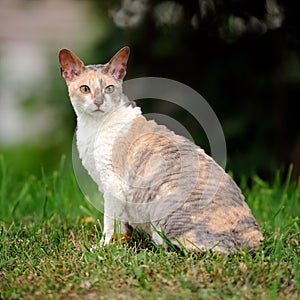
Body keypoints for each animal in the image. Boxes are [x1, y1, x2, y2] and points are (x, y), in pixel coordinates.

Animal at [58, 46, 262, 253]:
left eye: (109, 88)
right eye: (85, 89)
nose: (99, 102)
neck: (92, 127)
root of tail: (253, 236)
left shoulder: (113, 184)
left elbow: (109, 222)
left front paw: (103, 247)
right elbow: (121, 225)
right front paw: (119, 243)